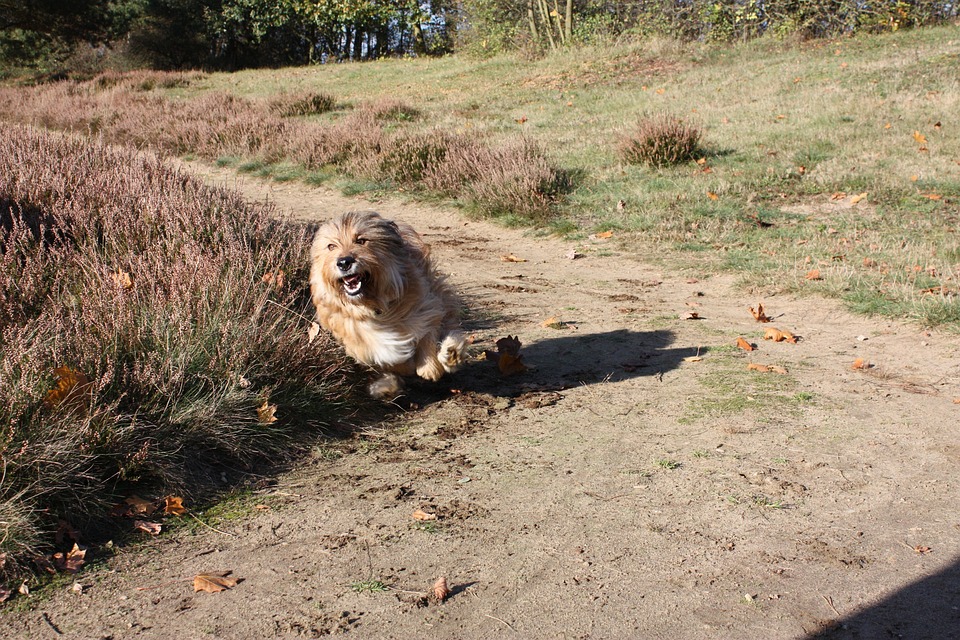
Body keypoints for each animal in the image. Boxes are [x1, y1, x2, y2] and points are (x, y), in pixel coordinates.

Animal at [310, 212, 466, 398]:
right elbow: (388, 357)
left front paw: (430, 366)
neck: (372, 305)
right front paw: (402, 368)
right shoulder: (357, 338)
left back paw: (450, 353)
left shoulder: (425, 305)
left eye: (361, 240)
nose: (344, 262)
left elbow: (428, 330)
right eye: (331, 246)